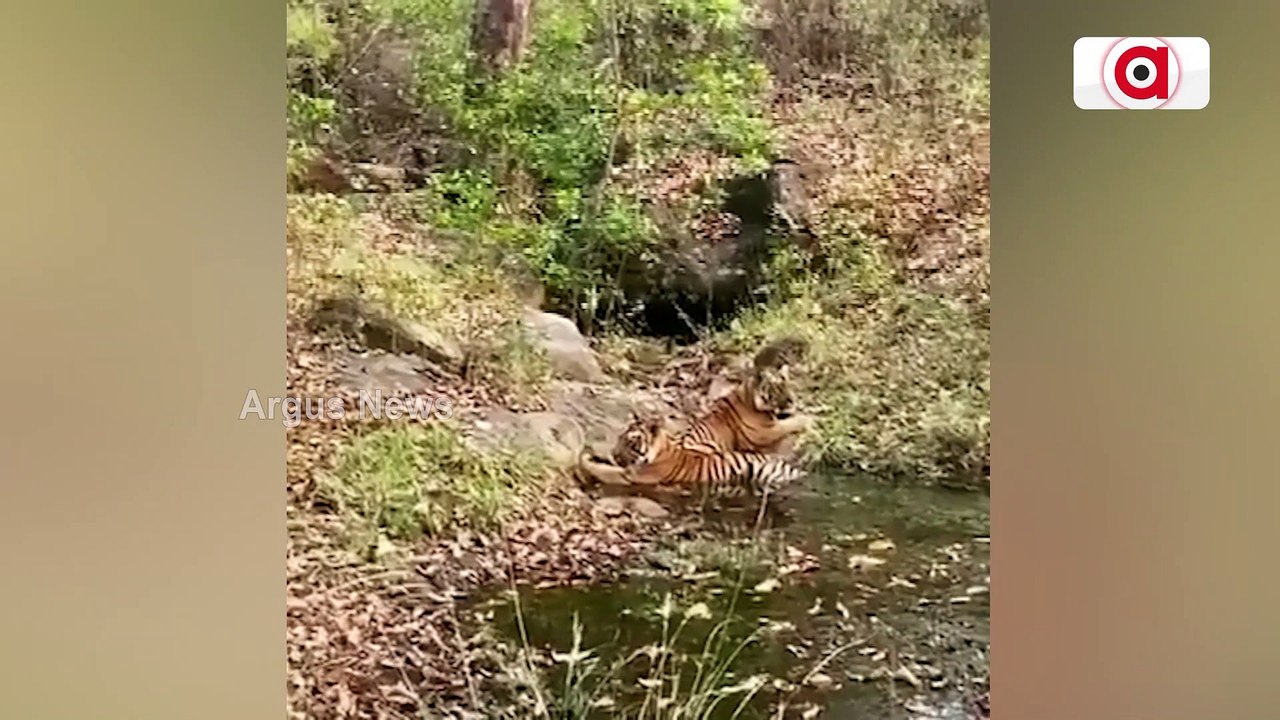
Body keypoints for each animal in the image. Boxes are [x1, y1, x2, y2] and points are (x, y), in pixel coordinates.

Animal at [582, 413, 806, 500]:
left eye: (630, 442)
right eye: (619, 438)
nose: (614, 453)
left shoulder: (632, 475)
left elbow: (605, 470)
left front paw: (584, 460)